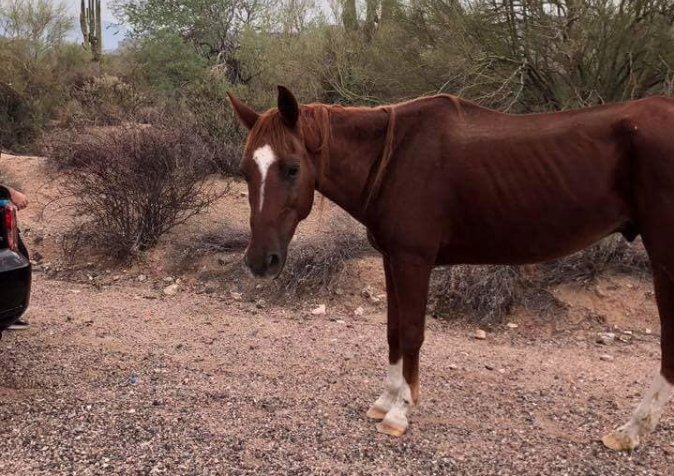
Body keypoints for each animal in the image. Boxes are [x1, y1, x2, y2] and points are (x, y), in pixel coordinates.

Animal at [227, 85, 674, 450]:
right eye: (245, 171)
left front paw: (400, 412)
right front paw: (385, 400)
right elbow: (393, 331)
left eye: (292, 167)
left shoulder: (414, 261)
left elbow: (411, 333)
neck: (393, 159)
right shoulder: (392, 259)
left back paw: (632, 430)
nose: (260, 261)